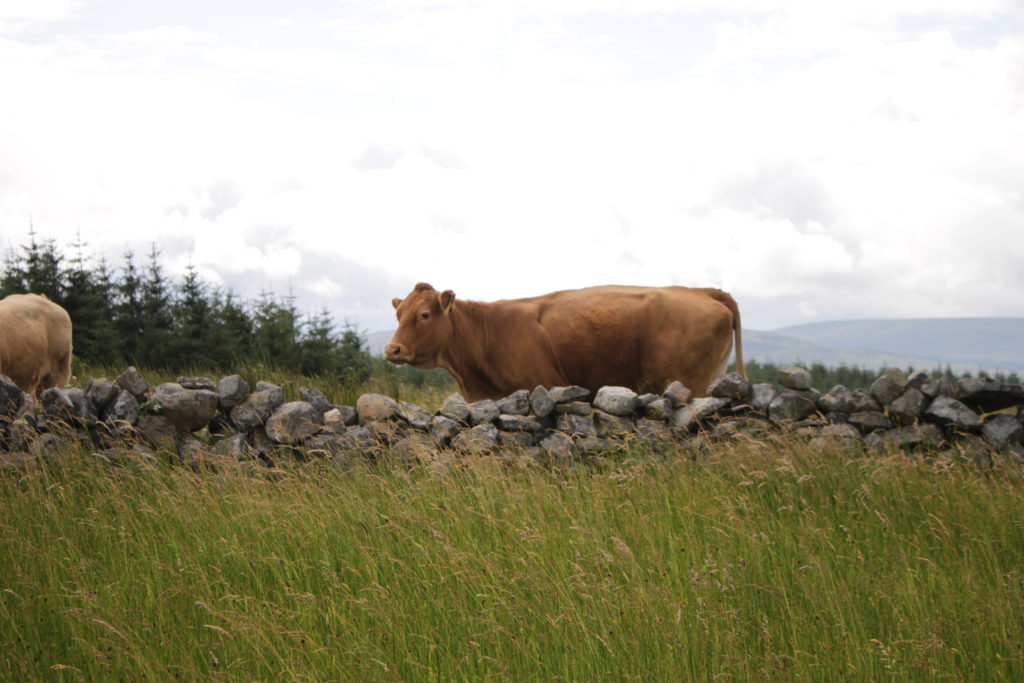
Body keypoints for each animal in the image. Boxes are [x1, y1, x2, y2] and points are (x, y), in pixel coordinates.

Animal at [385, 282, 745, 403]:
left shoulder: (542, 384)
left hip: (691, 382)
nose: (392, 349)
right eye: (398, 313)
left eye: (425, 315)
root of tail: (702, 291)